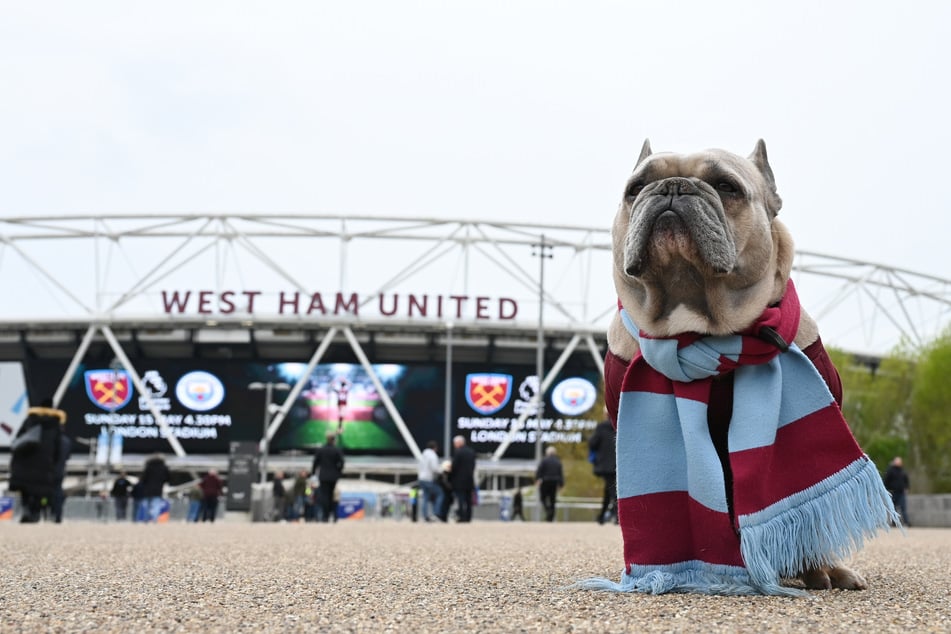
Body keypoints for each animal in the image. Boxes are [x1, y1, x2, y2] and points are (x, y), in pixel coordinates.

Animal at [608, 139, 872, 588]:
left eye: (725, 186)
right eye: (636, 187)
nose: (672, 187)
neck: (700, 332)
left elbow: (806, 516)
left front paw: (815, 569)